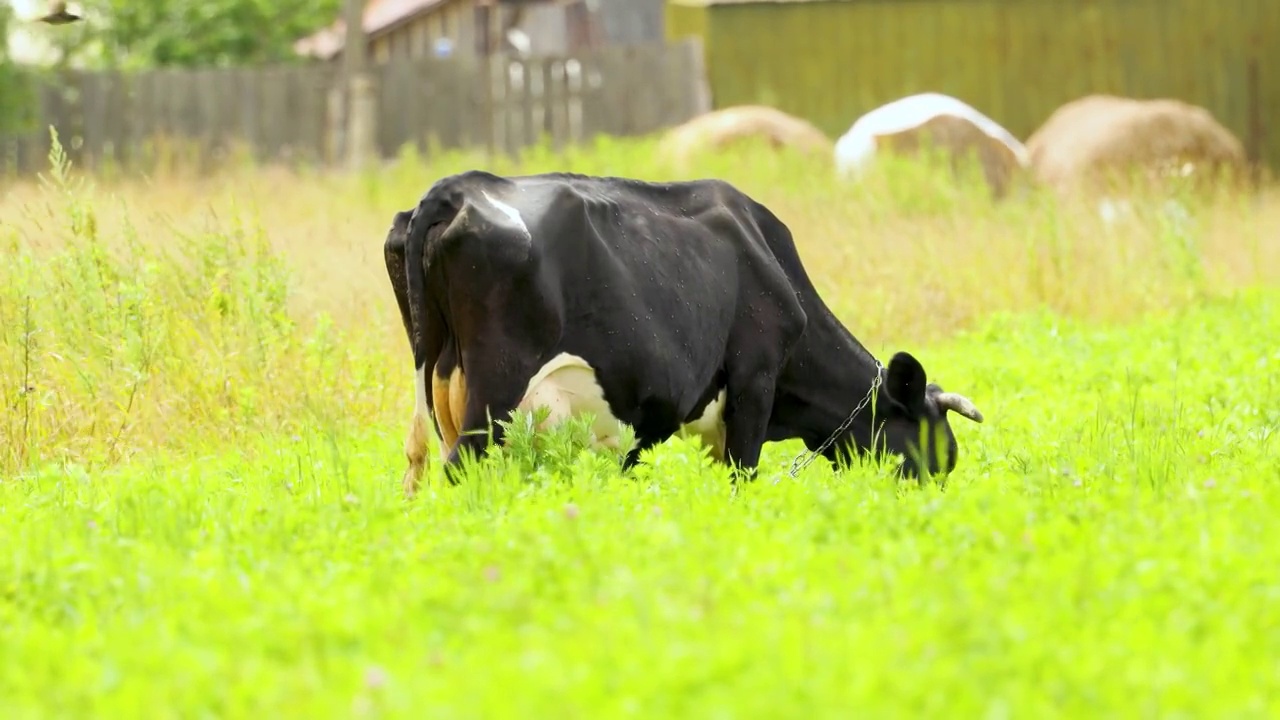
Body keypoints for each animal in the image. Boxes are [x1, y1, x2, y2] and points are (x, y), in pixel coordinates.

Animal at [384, 169, 983, 491]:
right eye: (932, 458)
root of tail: (457, 188)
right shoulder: (754, 381)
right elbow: (742, 479)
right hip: (495, 389)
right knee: (459, 468)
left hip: (439, 392)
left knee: (416, 468)